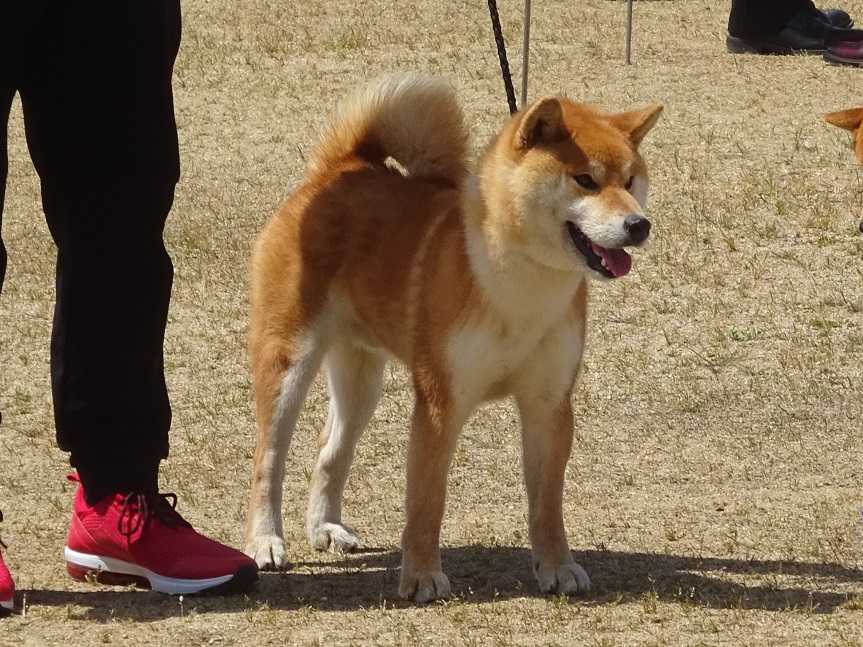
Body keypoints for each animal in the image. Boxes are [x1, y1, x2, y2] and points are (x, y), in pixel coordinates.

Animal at [243, 73, 662, 602]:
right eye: (585, 179)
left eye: (630, 182)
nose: (638, 225)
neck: (521, 288)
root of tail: (340, 167)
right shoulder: (441, 403)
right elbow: (427, 500)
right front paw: (422, 576)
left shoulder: (549, 404)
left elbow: (548, 503)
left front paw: (557, 566)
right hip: (289, 363)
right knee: (268, 461)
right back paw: (265, 542)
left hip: (360, 380)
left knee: (330, 450)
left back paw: (326, 528)